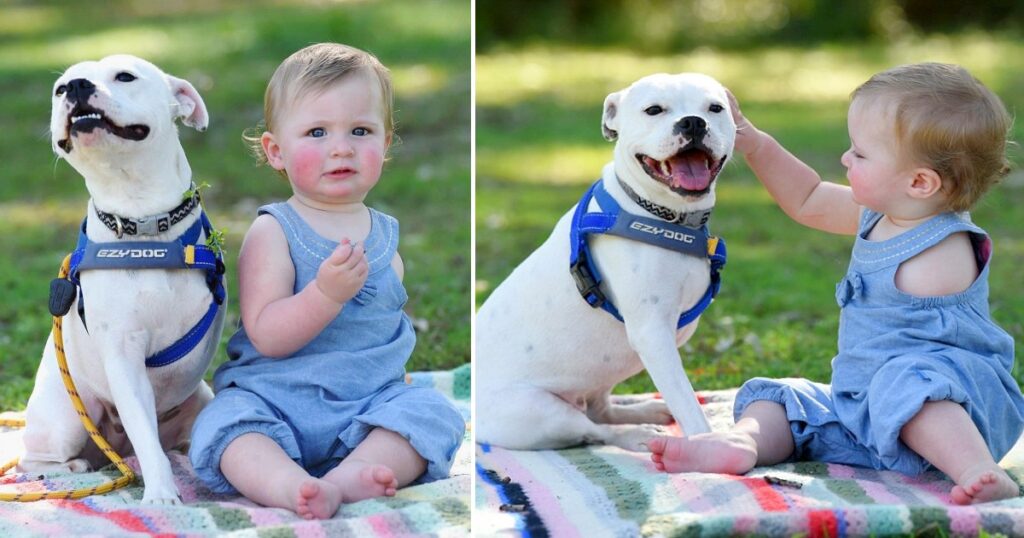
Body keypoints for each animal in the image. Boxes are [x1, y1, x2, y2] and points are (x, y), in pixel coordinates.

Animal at [17, 55, 226, 504]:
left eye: (125, 76)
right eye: (59, 88)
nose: (77, 86)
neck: (142, 222)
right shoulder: (124, 356)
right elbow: (146, 437)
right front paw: (162, 496)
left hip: (199, 397)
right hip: (66, 418)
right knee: (35, 459)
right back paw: (69, 469)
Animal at [475, 71, 733, 448]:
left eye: (715, 108)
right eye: (653, 110)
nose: (693, 122)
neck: (665, 216)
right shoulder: (653, 335)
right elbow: (688, 404)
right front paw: (708, 446)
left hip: (599, 374)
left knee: (600, 410)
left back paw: (646, 412)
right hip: (540, 413)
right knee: (593, 430)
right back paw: (638, 436)